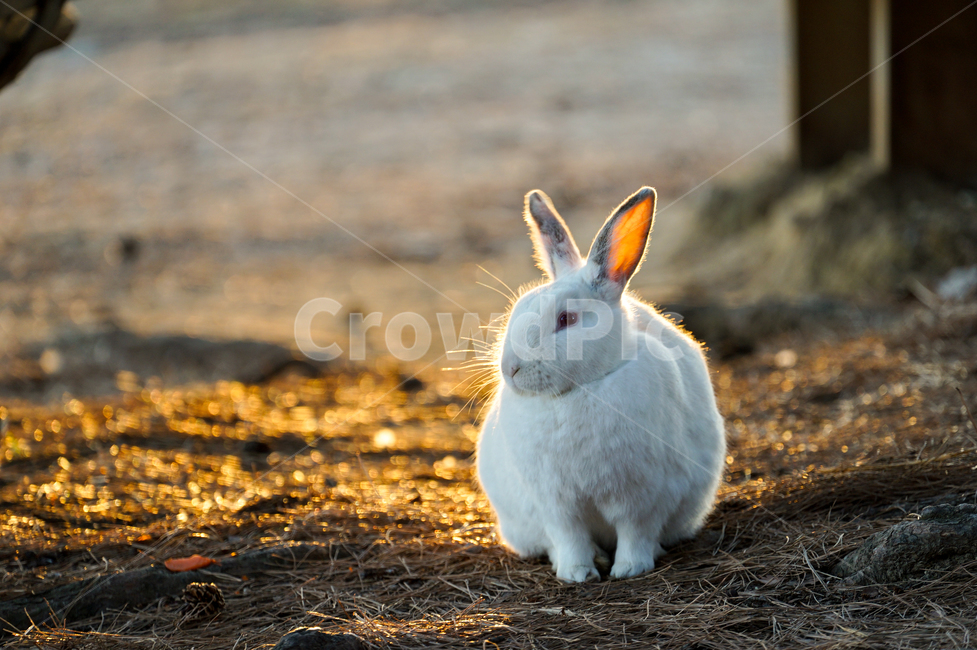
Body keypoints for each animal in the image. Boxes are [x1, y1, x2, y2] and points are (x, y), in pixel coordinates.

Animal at [476, 186, 726, 583]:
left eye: (567, 319)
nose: (510, 368)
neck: (579, 390)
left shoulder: (642, 496)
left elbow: (636, 531)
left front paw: (630, 569)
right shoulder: (556, 504)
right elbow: (569, 537)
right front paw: (577, 574)